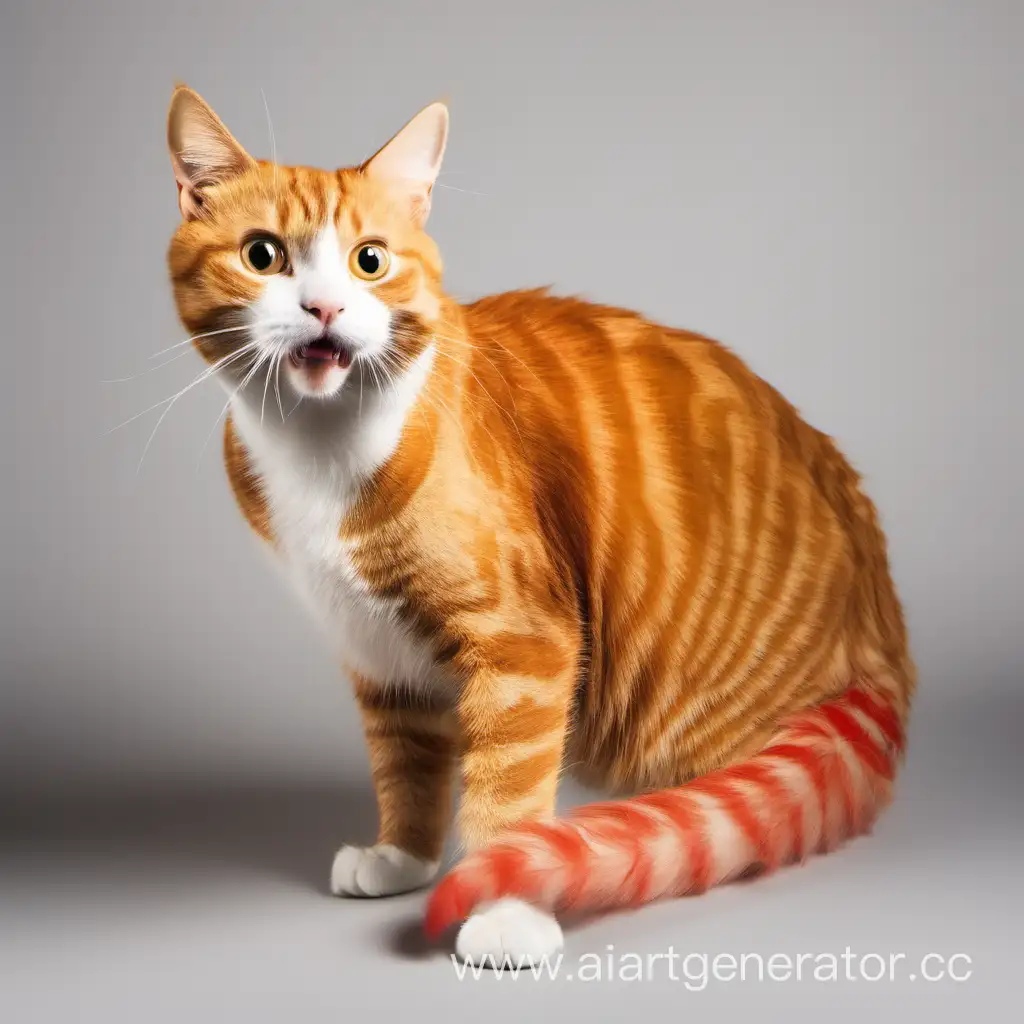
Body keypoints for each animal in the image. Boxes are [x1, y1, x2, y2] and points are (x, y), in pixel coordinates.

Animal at [165, 83, 913, 962]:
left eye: (369, 261)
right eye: (263, 257)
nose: (323, 307)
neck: (319, 450)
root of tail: (879, 634)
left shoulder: (524, 644)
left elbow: (507, 788)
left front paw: (507, 906)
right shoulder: (377, 650)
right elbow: (405, 761)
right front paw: (402, 855)